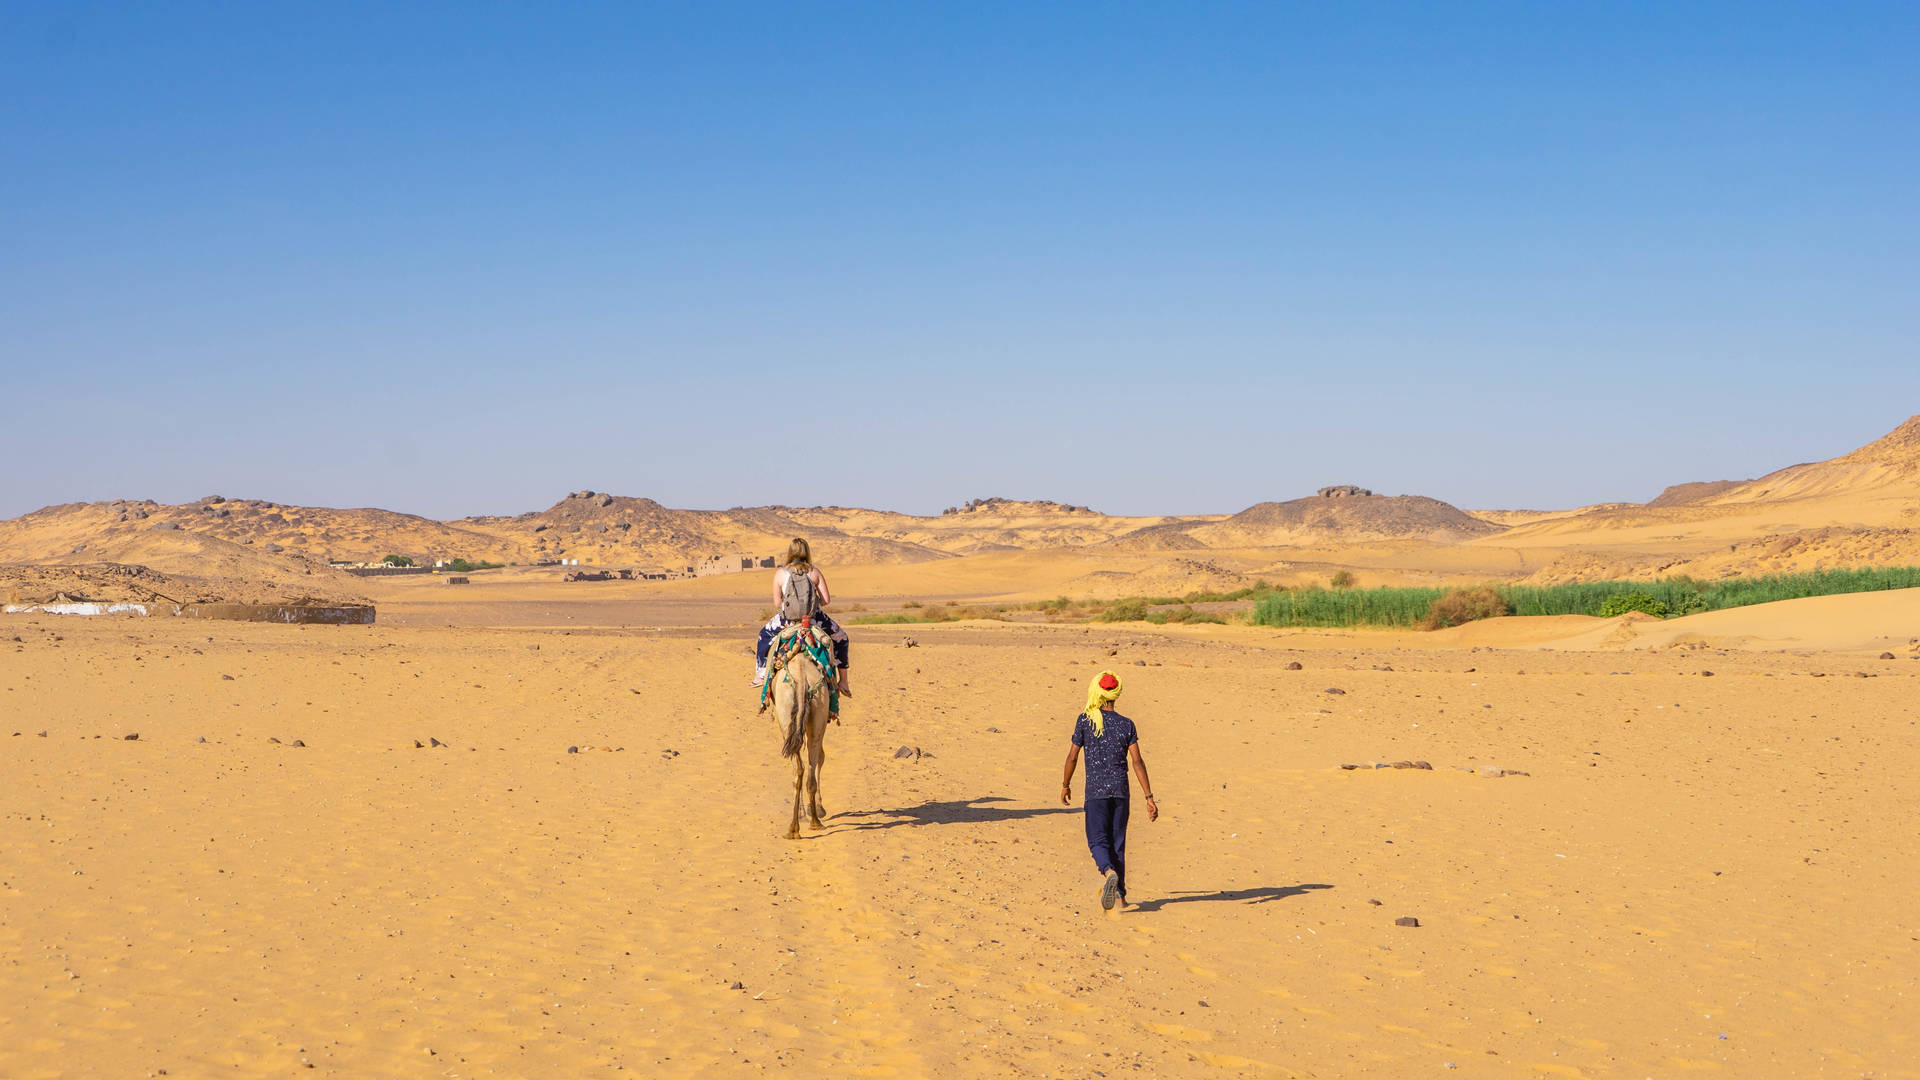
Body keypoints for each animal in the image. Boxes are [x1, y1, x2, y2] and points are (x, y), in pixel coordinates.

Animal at [760, 618, 837, 837]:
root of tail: (802, 679)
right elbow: (819, 759)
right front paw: (815, 809)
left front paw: (813, 809)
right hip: (818, 707)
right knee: (810, 767)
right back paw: (813, 822)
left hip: (787, 716)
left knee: (800, 769)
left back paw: (795, 827)